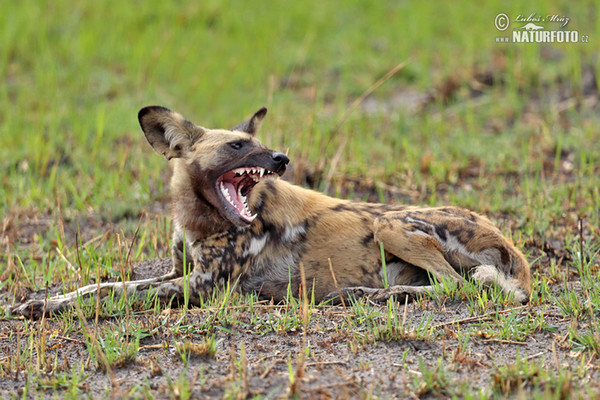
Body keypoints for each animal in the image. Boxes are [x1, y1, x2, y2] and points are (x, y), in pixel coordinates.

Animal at [10, 106, 528, 318]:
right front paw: (41, 303)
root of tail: (515, 252)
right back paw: (367, 294)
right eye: (239, 145)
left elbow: (116, 297)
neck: (198, 219)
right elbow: (102, 287)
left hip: (389, 225)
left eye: (258, 144)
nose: (281, 158)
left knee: (456, 286)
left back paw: (375, 296)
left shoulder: (203, 286)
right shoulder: (180, 272)